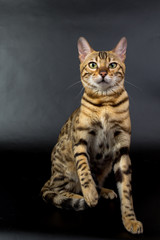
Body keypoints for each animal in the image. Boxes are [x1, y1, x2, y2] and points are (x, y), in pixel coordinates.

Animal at [41, 37, 142, 234]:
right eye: (93, 64)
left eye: (112, 65)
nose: (102, 73)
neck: (105, 103)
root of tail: (51, 175)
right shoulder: (80, 141)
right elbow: (84, 170)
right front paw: (89, 194)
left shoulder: (122, 148)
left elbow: (126, 189)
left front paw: (129, 219)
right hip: (63, 164)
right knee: (55, 190)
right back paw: (80, 196)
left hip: (106, 165)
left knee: (95, 180)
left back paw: (103, 191)